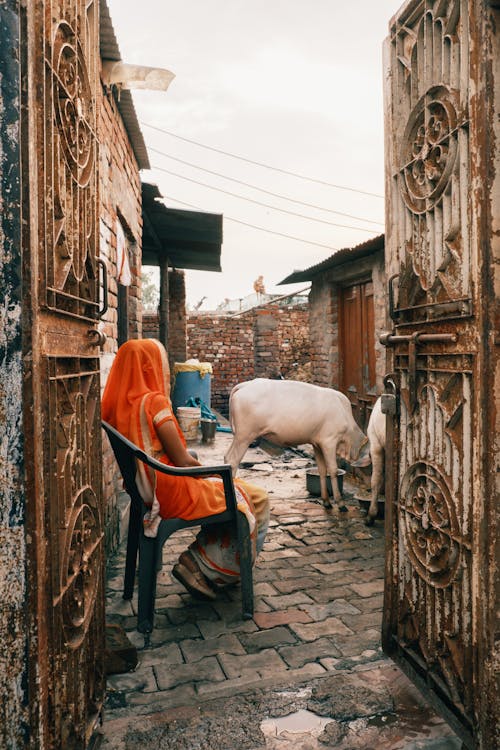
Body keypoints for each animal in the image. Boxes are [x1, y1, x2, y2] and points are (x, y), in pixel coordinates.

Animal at [225, 378, 370, 516]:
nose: (370, 489)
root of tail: (244, 385)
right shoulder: (329, 441)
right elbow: (333, 470)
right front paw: (341, 504)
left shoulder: (317, 443)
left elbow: (322, 470)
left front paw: (326, 501)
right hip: (245, 436)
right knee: (233, 460)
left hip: (239, 436)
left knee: (227, 458)